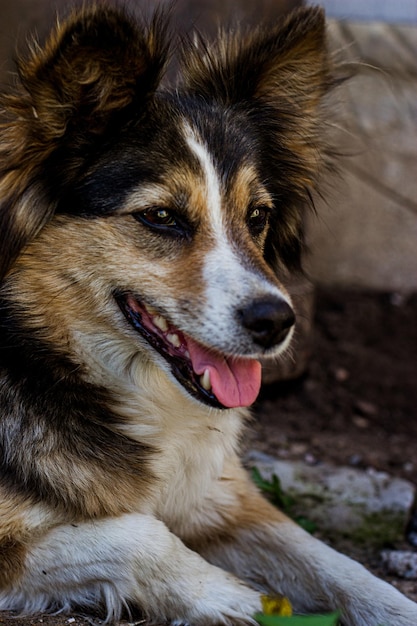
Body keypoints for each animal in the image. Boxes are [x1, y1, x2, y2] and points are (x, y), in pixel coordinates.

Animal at [0, 6, 416, 624]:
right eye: (160, 216)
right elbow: (135, 530)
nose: (277, 321)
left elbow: (336, 564)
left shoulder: (223, 495)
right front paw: (227, 595)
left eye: (258, 215)